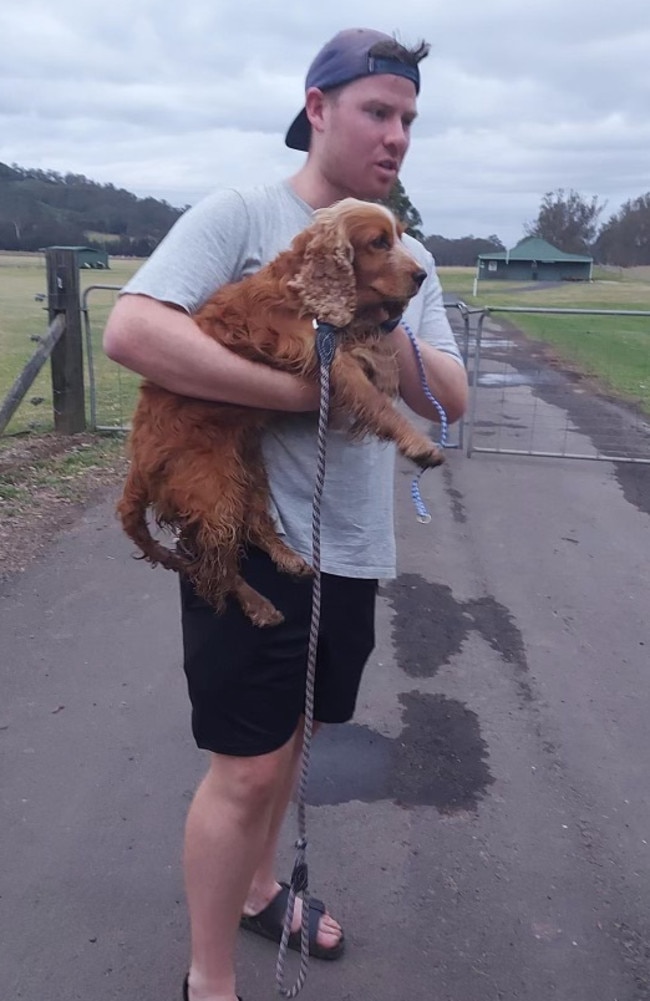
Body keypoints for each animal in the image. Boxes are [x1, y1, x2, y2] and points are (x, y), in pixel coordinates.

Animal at [117, 197, 440, 624]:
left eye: (401, 237)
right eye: (379, 242)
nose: (421, 276)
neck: (302, 290)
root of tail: (139, 464)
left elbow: (375, 350)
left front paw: (386, 364)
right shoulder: (324, 356)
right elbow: (372, 399)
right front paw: (417, 443)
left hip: (248, 469)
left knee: (255, 524)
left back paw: (289, 559)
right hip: (213, 490)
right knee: (211, 566)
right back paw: (258, 604)